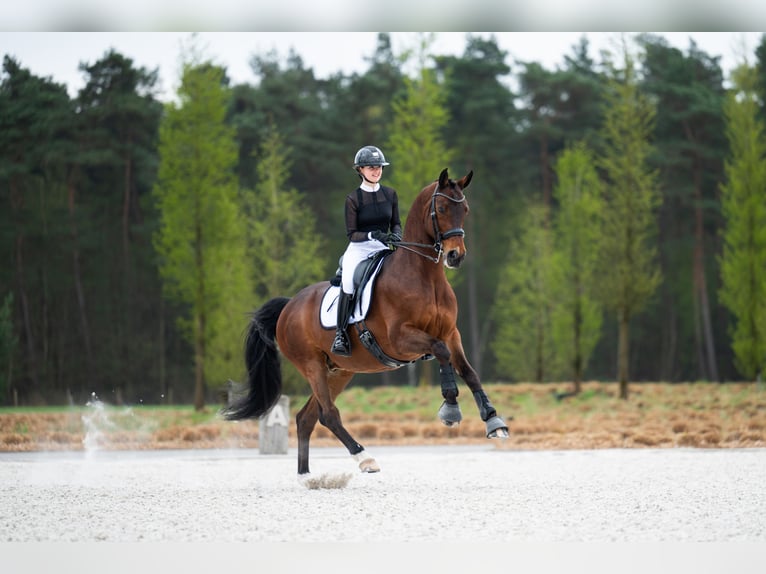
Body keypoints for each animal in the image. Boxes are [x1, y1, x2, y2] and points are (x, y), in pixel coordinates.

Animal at [223, 168, 509, 476]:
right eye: (442, 208)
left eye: (464, 210)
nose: (456, 256)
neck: (424, 277)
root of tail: (289, 306)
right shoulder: (401, 339)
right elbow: (441, 352)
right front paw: (450, 406)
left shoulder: (450, 333)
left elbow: (469, 370)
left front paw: (493, 421)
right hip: (312, 365)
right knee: (328, 414)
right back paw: (364, 457)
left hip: (339, 371)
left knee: (306, 418)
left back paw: (305, 476)